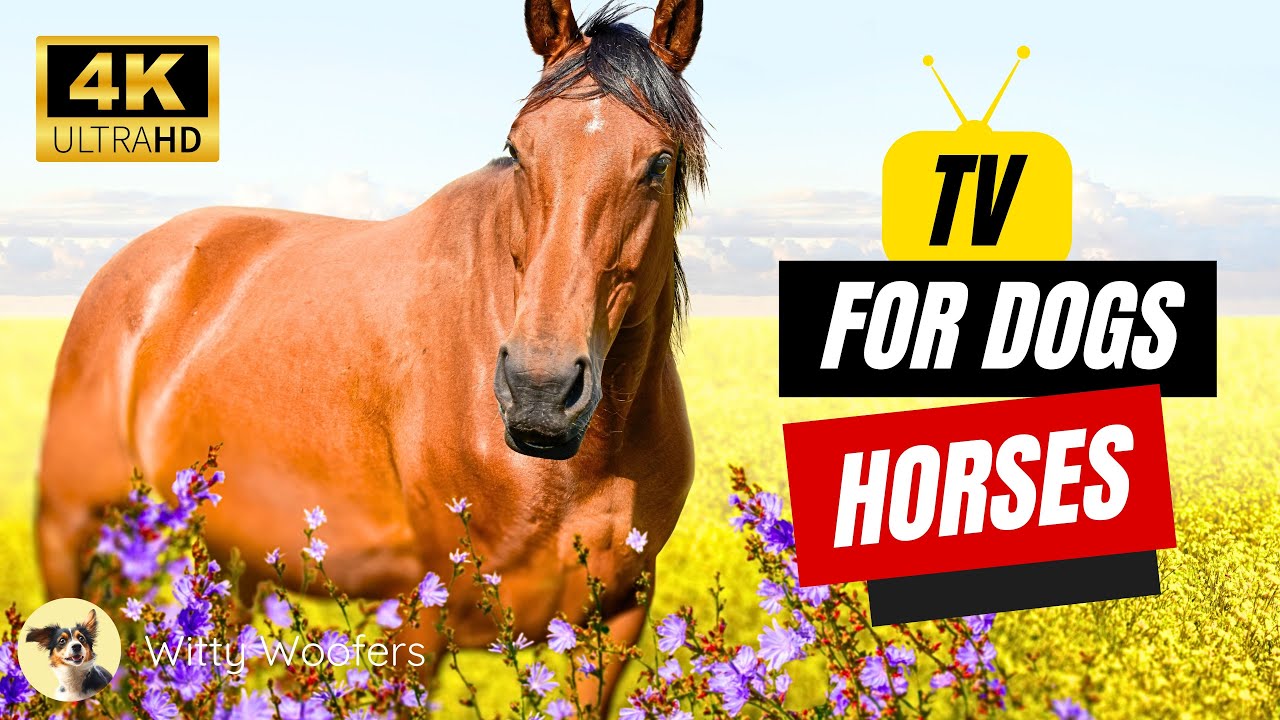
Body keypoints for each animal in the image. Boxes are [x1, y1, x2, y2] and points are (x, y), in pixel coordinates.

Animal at [36, 0, 705, 711]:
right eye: (518, 150)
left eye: (659, 161)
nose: (540, 393)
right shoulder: (417, 619)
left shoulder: (612, 625)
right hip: (69, 525)